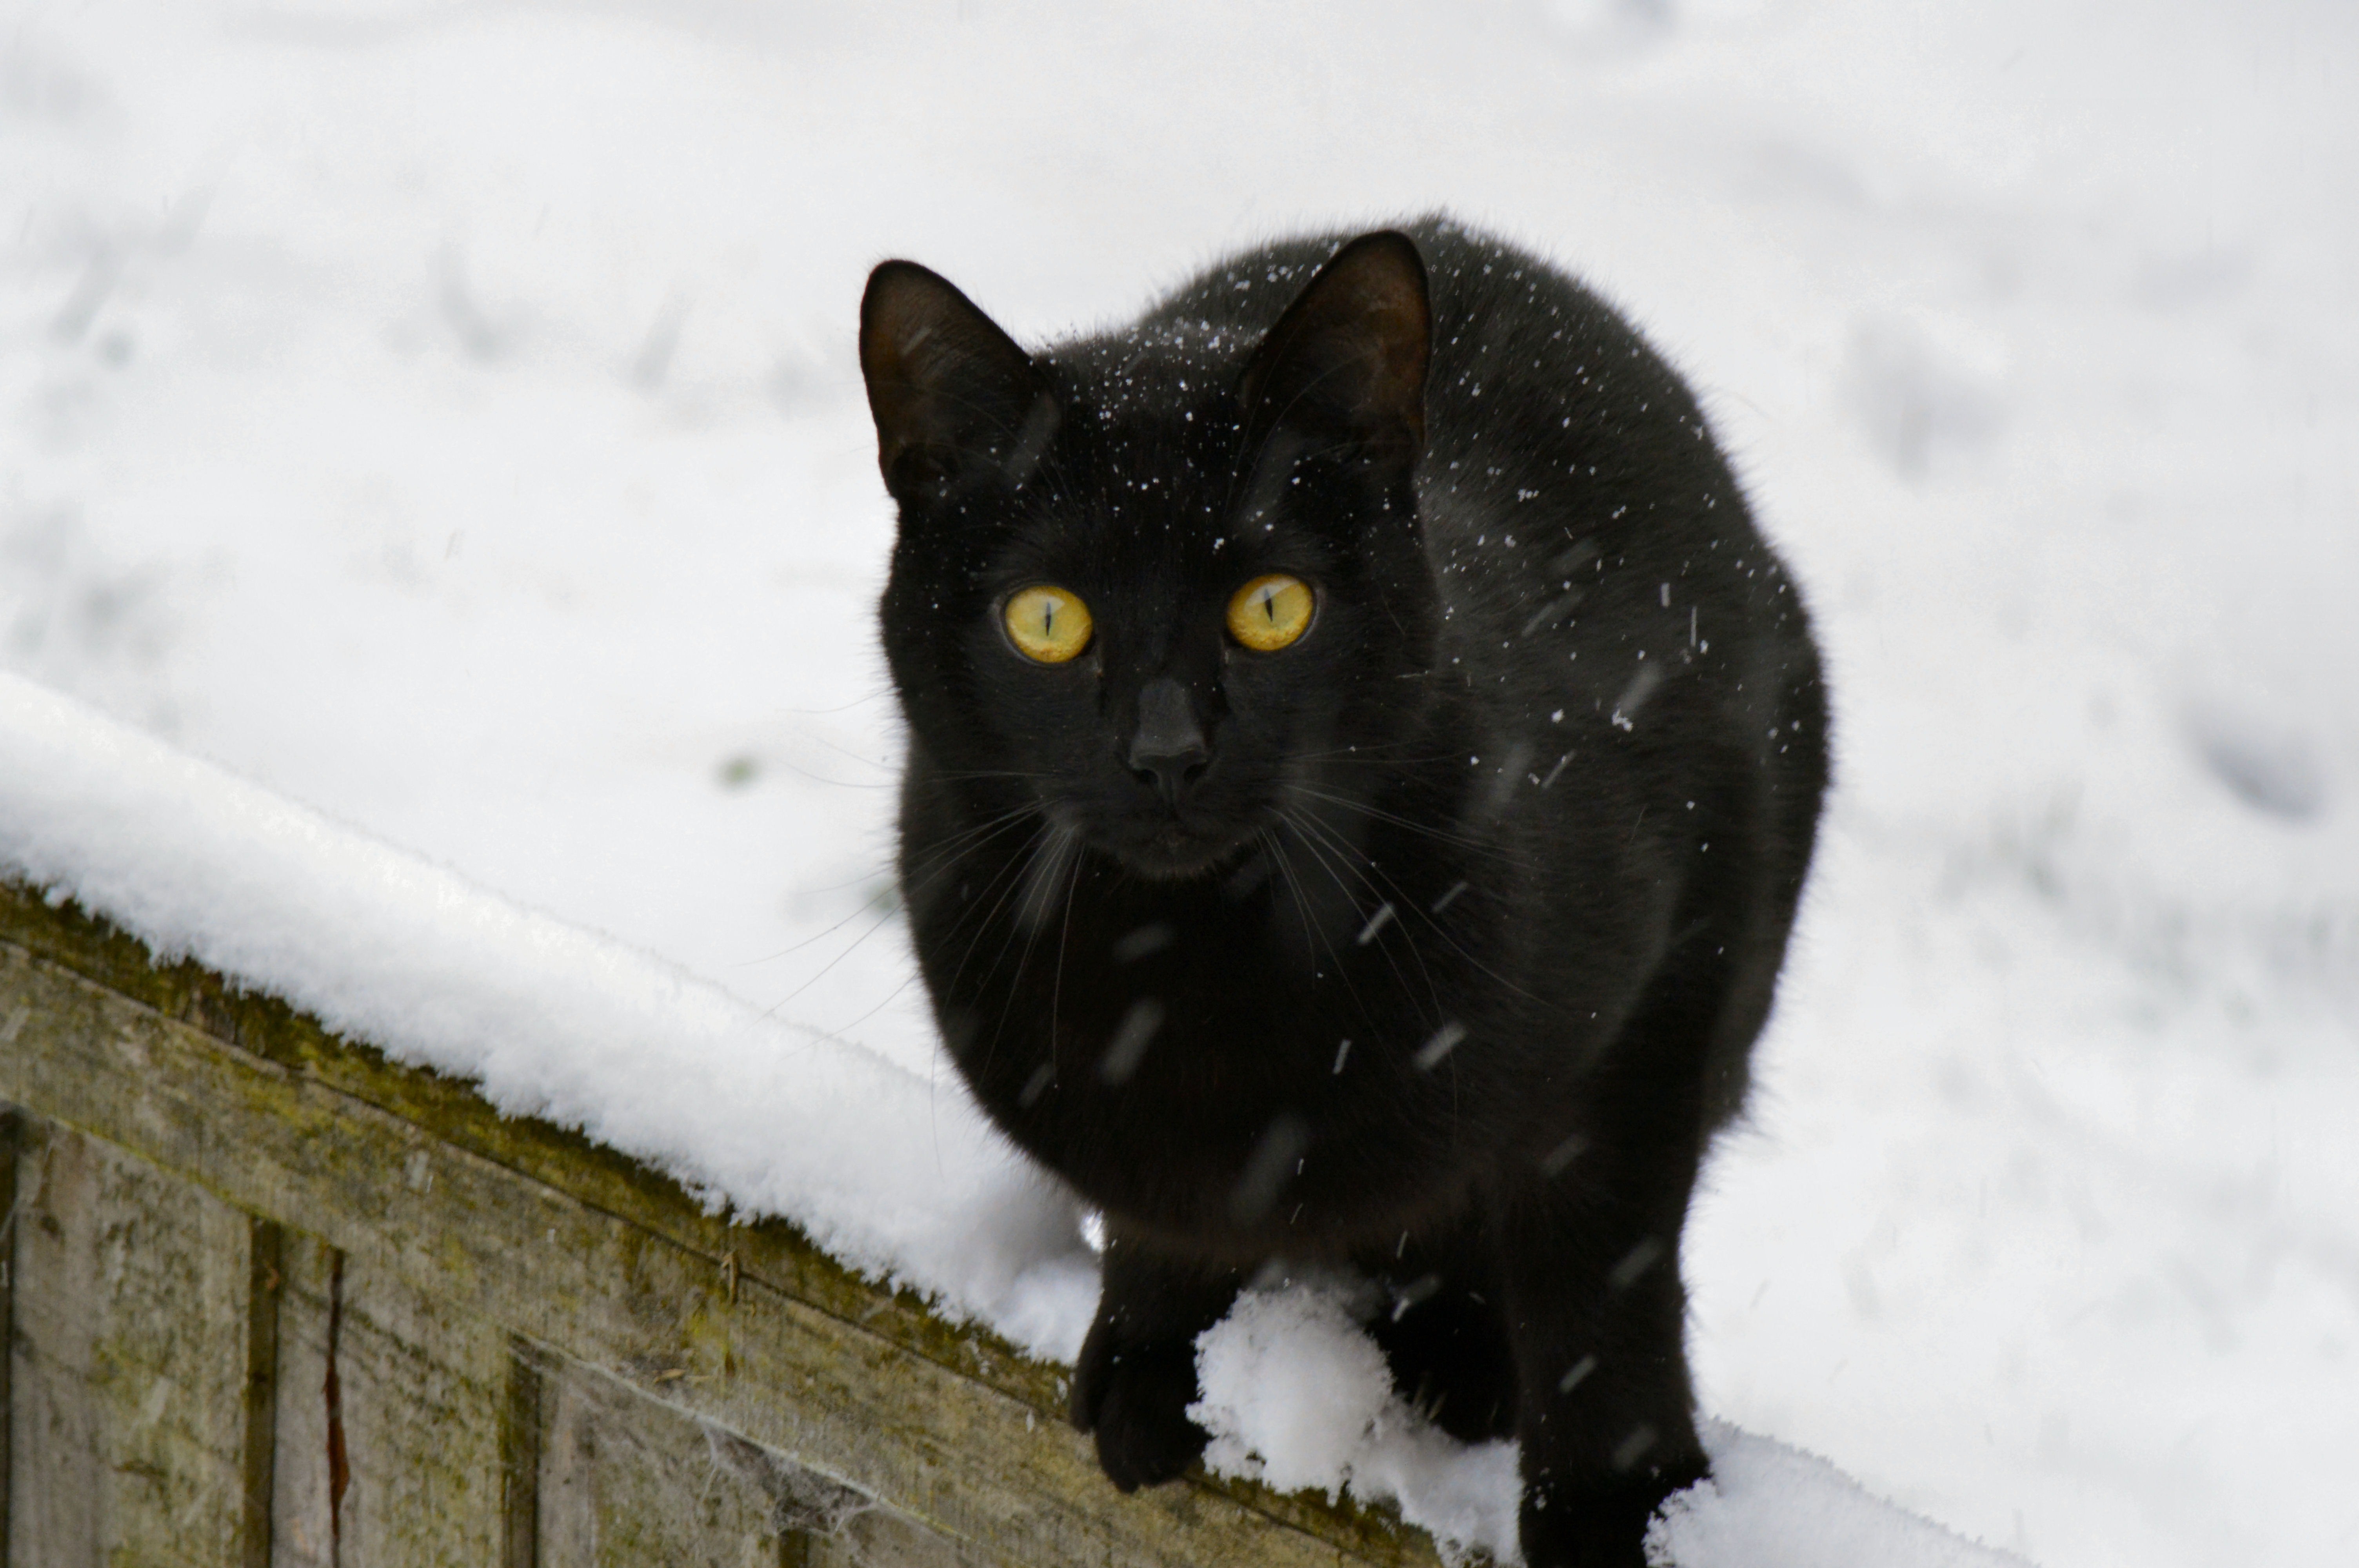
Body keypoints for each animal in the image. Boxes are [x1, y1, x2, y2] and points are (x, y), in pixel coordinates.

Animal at [863, 214, 1821, 1556]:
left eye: (1272, 606)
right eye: (1046, 619)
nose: (1167, 750)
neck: (1195, 970)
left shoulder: (1657, 995)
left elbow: (1598, 1278)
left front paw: (1616, 1511)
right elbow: (1166, 1212)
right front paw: (1156, 1363)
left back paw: (1459, 1355)